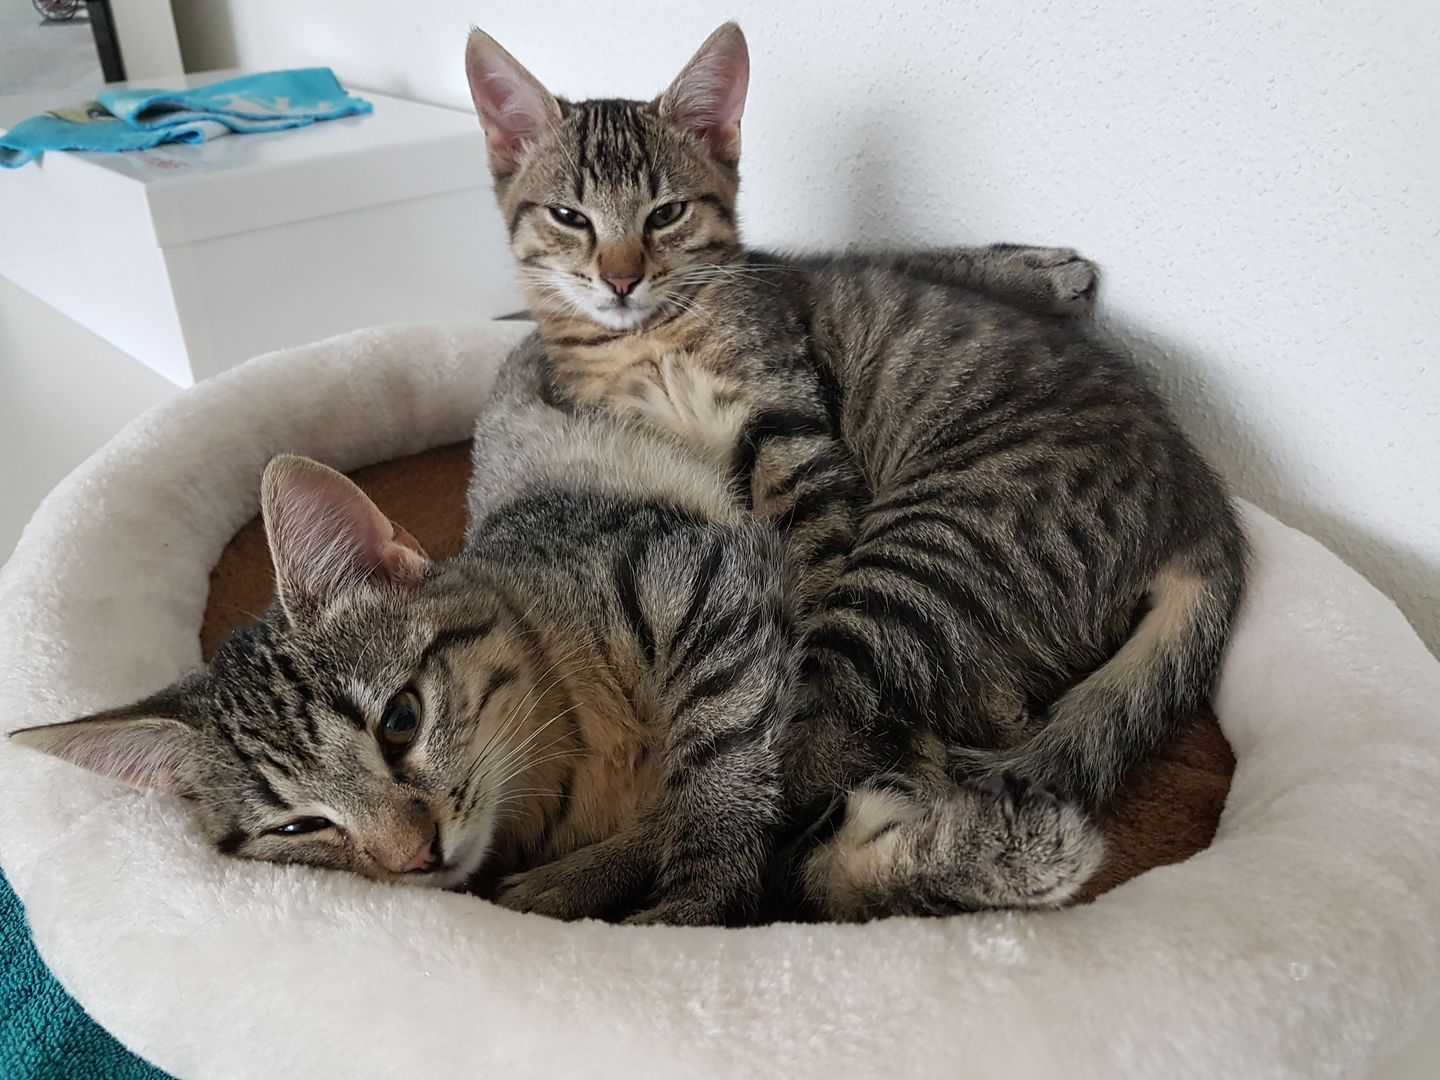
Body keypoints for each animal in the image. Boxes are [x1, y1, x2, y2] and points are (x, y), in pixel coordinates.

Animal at [10, 343, 1103, 924]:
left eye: (400, 722)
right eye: (297, 830)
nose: (413, 859)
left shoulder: (708, 582)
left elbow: (725, 790)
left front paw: (688, 899)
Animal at [462, 18, 1248, 882]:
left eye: (665, 213)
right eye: (570, 216)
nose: (621, 279)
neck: (650, 345)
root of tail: (1201, 501)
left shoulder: (791, 428)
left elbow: (801, 582)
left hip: (932, 547)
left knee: (827, 747)